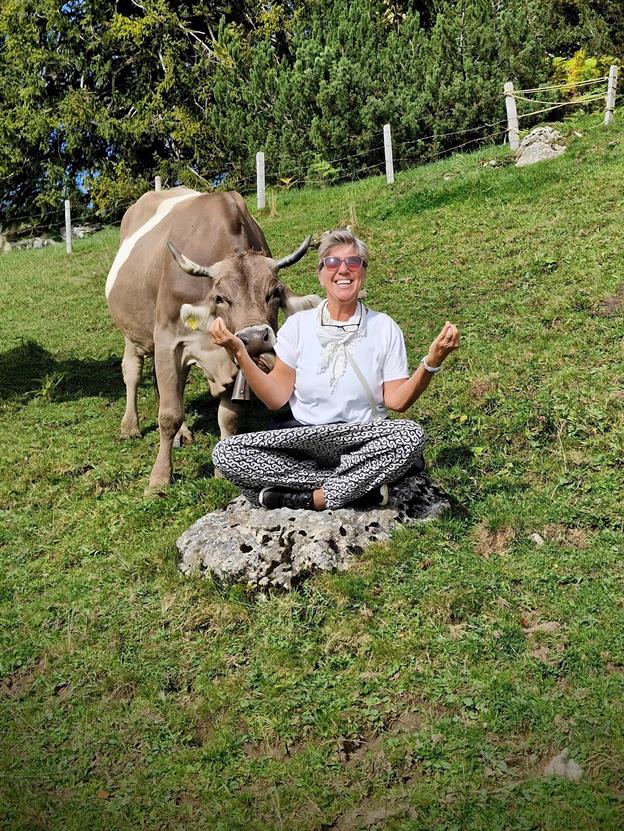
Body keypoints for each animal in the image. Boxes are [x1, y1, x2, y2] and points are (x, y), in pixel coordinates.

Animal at [105, 188, 320, 488]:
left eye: (275, 292)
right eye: (220, 298)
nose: (255, 337)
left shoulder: (234, 355)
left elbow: (228, 416)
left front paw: (222, 470)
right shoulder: (168, 340)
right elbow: (168, 415)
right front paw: (159, 478)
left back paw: (182, 433)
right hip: (134, 333)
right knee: (133, 373)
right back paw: (130, 426)